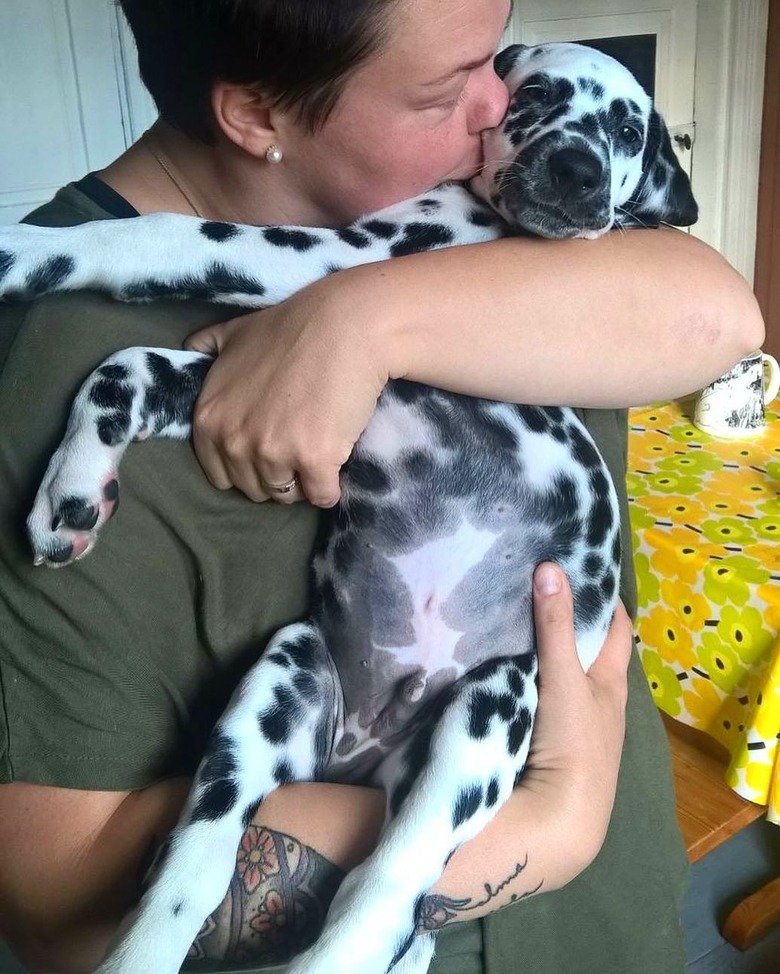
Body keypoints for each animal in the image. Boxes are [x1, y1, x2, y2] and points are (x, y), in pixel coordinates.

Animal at [0, 43, 696, 974]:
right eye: (538, 93)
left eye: (625, 129)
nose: (580, 172)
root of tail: (371, 752)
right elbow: (129, 365)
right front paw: (72, 490)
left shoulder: (326, 261)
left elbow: (159, 234)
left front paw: (19, 248)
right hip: (281, 682)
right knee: (199, 859)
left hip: (491, 708)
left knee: (385, 890)